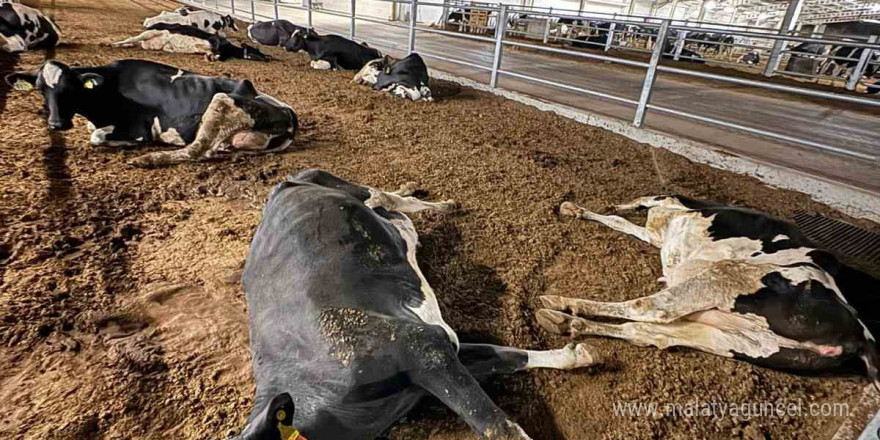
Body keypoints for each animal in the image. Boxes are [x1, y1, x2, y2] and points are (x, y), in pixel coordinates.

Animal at [5, 59, 298, 168]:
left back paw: (145, 160)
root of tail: (289, 112)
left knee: (196, 151)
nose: (56, 124)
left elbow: (97, 137)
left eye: (71, 89)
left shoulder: (138, 128)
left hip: (222, 100)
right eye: (41, 90)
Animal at [230, 169, 600, 440]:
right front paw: (574, 354)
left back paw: (441, 204)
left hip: (335, 182)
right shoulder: (437, 349)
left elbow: (495, 423)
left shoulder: (422, 347)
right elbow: (505, 357)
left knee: (383, 196)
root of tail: (282, 184)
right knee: (392, 208)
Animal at [536, 196, 880, 388]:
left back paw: (564, 304)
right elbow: (619, 220)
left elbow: (627, 213)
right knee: (648, 333)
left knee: (650, 308)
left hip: (725, 278)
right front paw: (577, 209)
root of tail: (859, 333)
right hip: (741, 342)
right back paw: (567, 322)